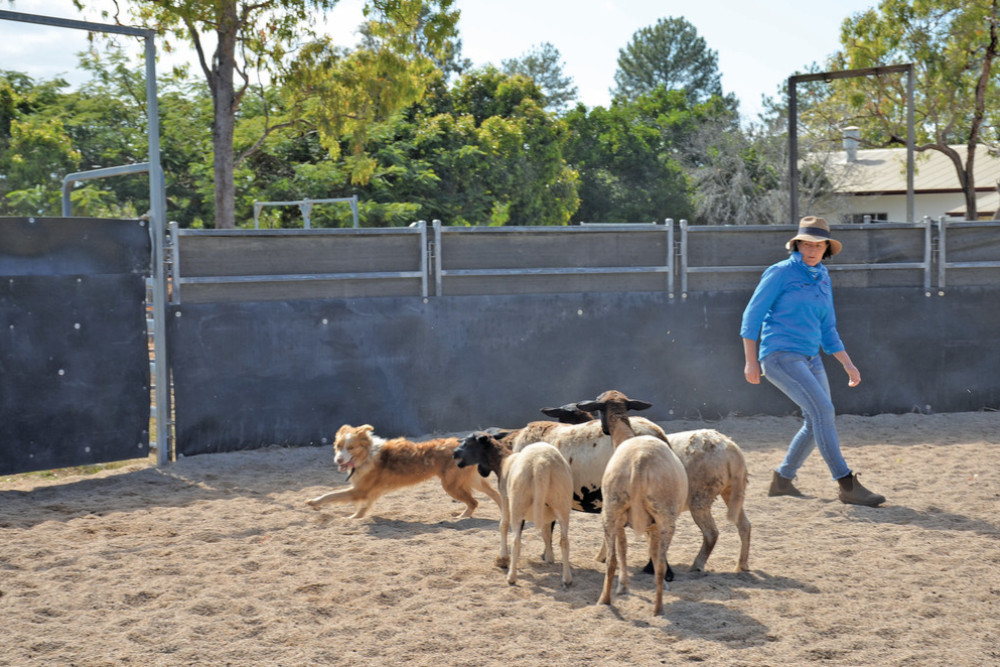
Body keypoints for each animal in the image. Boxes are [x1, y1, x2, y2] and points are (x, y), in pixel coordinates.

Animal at [304, 422, 500, 520]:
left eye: (350, 447)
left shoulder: (360, 490)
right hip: (472, 480)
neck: (367, 455)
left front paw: (314, 502)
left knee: (474, 502)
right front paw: (355, 518)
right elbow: (363, 507)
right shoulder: (369, 492)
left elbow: (332, 495)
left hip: (451, 485)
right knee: (495, 495)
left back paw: (461, 518)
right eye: (338, 446)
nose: (338, 459)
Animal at [452, 430, 572, 588]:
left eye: (468, 442)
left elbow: (503, 525)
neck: (503, 461)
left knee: (516, 540)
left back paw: (511, 577)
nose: (454, 453)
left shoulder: (505, 496)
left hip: (518, 502)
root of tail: (541, 464)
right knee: (564, 541)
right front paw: (549, 557)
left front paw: (502, 558)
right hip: (562, 503)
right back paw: (567, 579)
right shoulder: (547, 512)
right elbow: (546, 533)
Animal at [580, 392, 688, 616]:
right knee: (656, 565)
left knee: (614, 560)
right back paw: (654, 609)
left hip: (613, 511)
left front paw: (623, 587)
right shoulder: (646, 524)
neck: (625, 435)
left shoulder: (624, 521)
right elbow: (646, 556)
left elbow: (623, 550)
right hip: (661, 517)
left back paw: (608, 601)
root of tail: (639, 462)